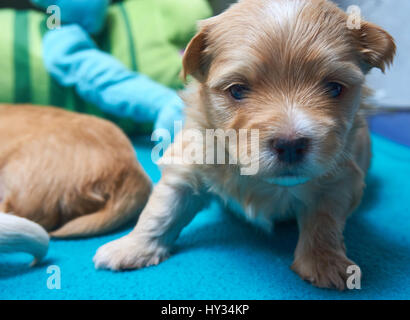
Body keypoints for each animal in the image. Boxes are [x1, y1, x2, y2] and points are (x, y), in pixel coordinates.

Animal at [93, 0, 394, 290]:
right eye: (237, 90)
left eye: (334, 88)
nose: (290, 145)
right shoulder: (188, 164)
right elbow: (162, 210)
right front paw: (132, 247)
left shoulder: (339, 180)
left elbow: (324, 223)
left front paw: (324, 261)